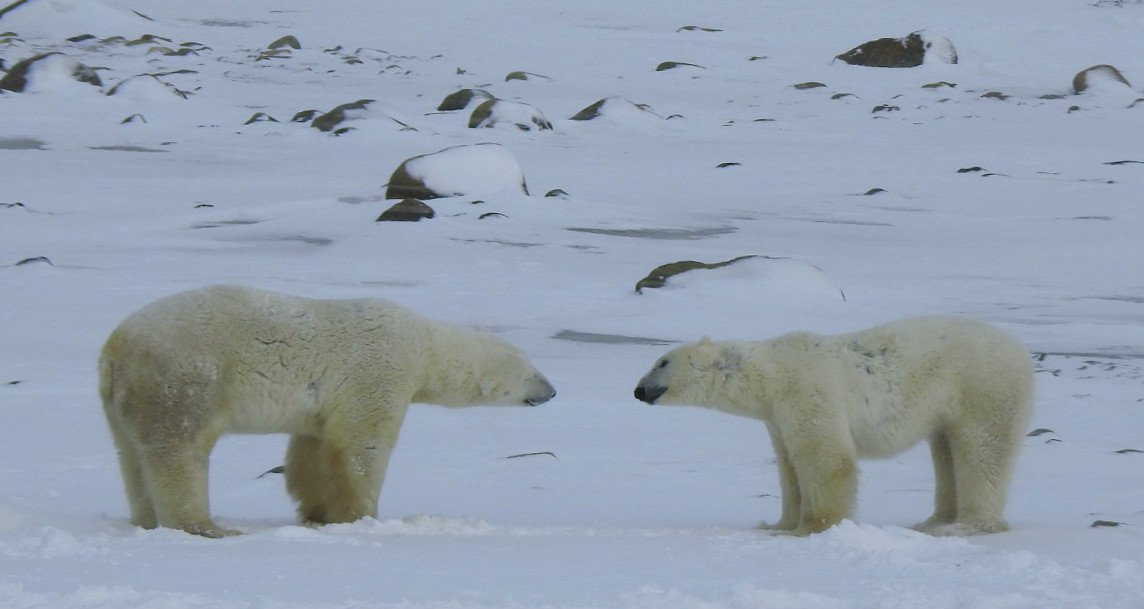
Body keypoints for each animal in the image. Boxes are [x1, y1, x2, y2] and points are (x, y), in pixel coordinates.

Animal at [100, 285, 555, 538]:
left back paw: (145, 519)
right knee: (180, 451)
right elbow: (361, 446)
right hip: (185, 377)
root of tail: (117, 346)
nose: (552, 391)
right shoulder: (379, 369)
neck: (426, 346)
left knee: (132, 456)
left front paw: (316, 514)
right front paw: (360, 517)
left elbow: (311, 449)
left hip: (123, 402)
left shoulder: (322, 404)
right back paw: (206, 526)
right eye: (531, 370)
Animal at [636, 315, 1038, 535]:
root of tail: (1020, 349)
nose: (638, 390)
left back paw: (966, 525)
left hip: (982, 385)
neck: (769, 373)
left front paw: (813, 527)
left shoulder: (807, 389)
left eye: (661, 362)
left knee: (983, 449)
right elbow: (788, 467)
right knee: (945, 452)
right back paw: (932, 521)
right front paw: (778, 524)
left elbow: (825, 459)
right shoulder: (776, 416)